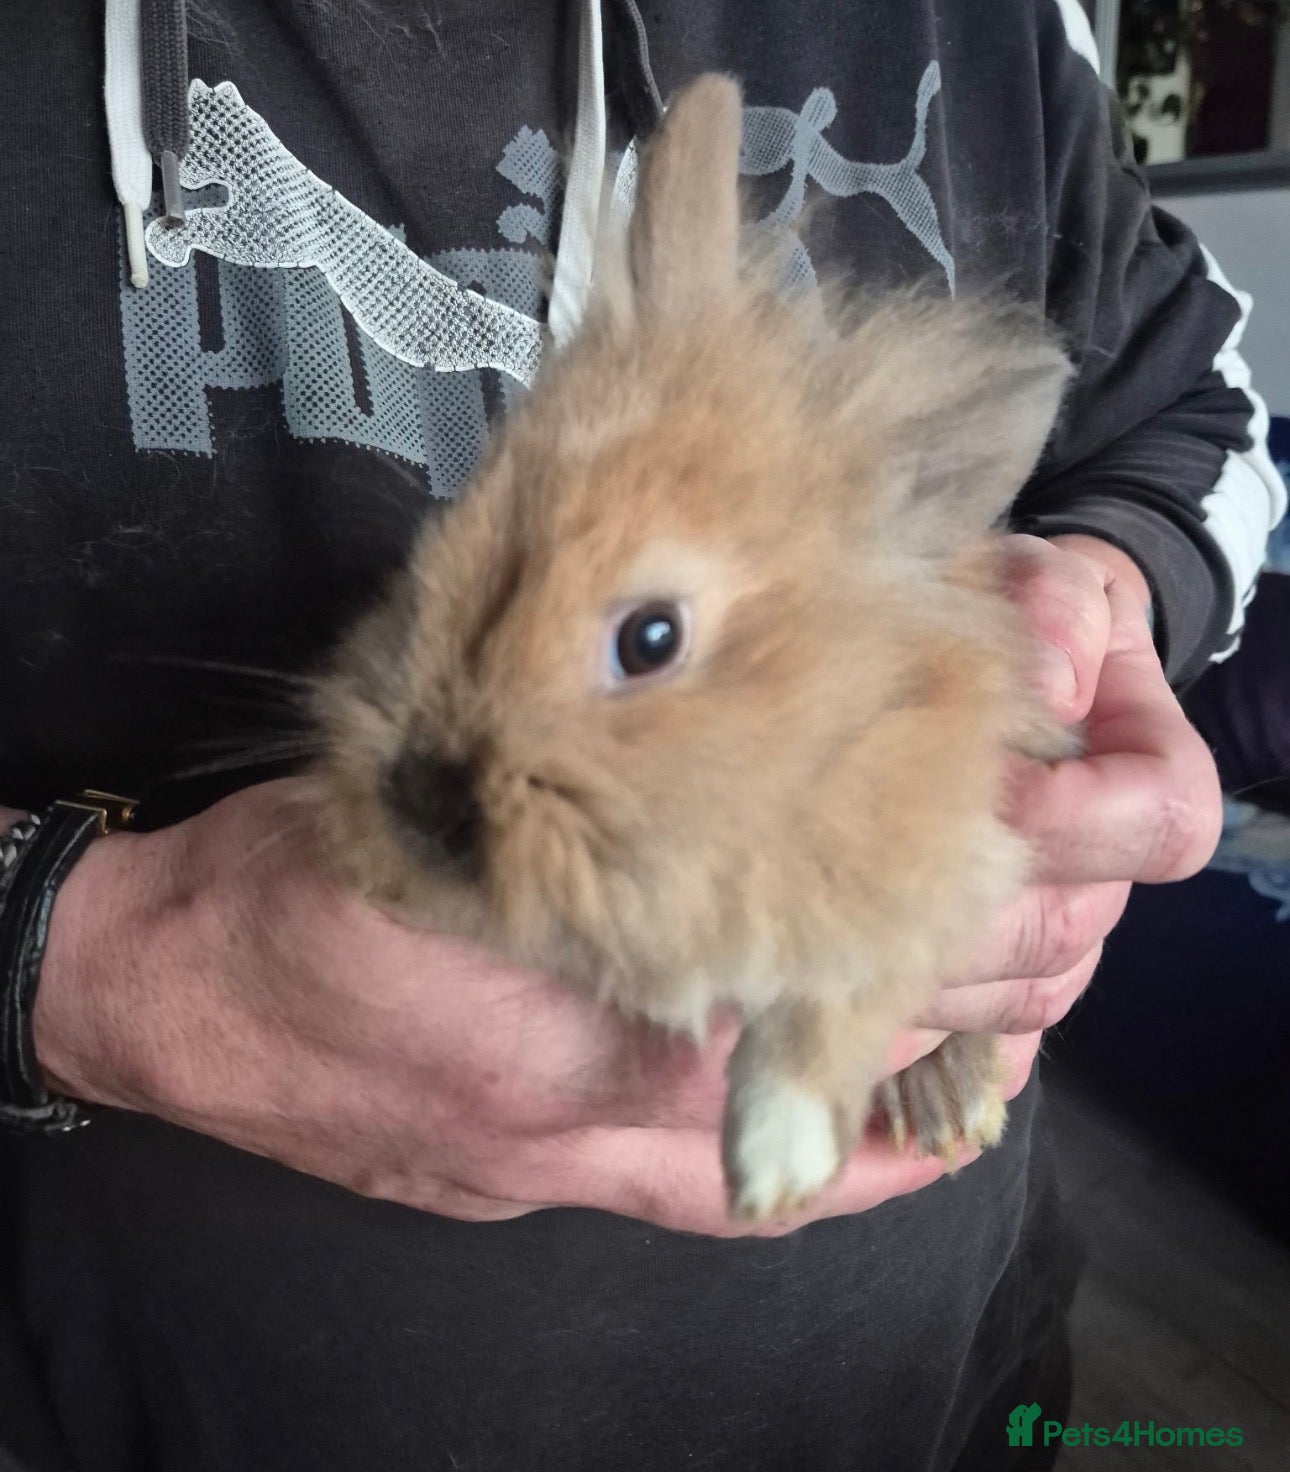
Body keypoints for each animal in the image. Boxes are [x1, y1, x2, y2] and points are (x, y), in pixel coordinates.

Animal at [309, 73, 1077, 1224]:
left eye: (651, 638)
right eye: (434, 556)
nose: (420, 795)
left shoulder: (939, 861)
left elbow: (848, 988)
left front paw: (775, 1155)